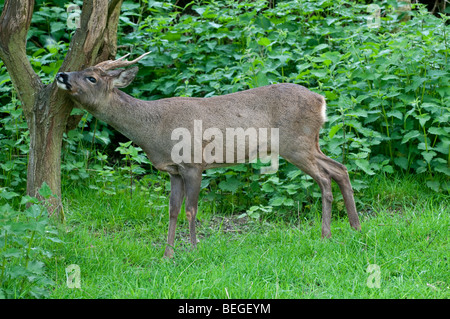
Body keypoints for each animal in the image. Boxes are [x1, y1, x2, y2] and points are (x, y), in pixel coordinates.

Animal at [55, 52, 362, 258]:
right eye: (82, 69)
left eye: (92, 78)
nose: (62, 75)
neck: (153, 129)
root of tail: (320, 100)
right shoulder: (174, 170)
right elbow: (173, 210)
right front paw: (167, 254)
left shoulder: (194, 162)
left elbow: (192, 209)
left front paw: (193, 249)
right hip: (308, 143)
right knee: (339, 168)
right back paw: (355, 228)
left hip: (296, 143)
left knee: (325, 177)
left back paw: (326, 235)